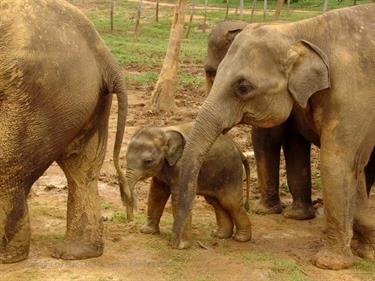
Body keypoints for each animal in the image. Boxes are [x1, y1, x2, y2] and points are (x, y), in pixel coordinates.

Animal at [0, 0, 129, 262]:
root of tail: (102, 53)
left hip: (36, 93)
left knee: (7, 168)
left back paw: (7, 257)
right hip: (80, 97)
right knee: (82, 169)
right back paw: (75, 252)